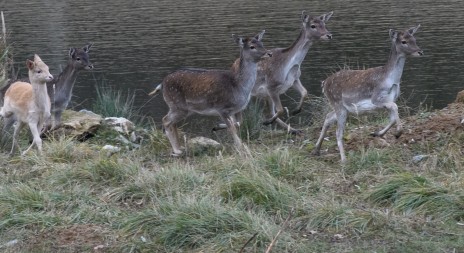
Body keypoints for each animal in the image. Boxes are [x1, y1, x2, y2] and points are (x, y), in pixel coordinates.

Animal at [312, 24, 424, 162]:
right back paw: (343, 159)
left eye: (414, 39)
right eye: (404, 41)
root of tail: (324, 83)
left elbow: (392, 117)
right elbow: (395, 107)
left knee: (328, 117)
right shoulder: (376, 98)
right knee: (338, 132)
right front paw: (398, 132)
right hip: (338, 103)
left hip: (343, 108)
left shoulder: (391, 99)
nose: (420, 51)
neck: (391, 80)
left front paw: (377, 133)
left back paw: (316, 150)